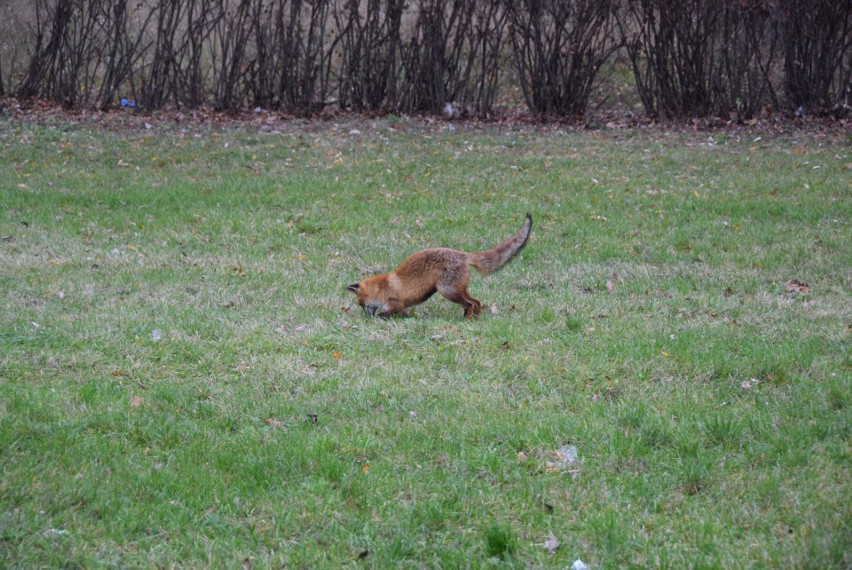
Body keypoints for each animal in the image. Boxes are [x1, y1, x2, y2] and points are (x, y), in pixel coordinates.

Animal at [346, 214, 532, 318]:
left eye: (361, 304)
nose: (366, 318)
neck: (382, 288)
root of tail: (462, 253)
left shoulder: (395, 304)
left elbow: (386, 314)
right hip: (457, 290)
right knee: (476, 302)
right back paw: (473, 319)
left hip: (447, 290)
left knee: (472, 304)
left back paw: (467, 320)